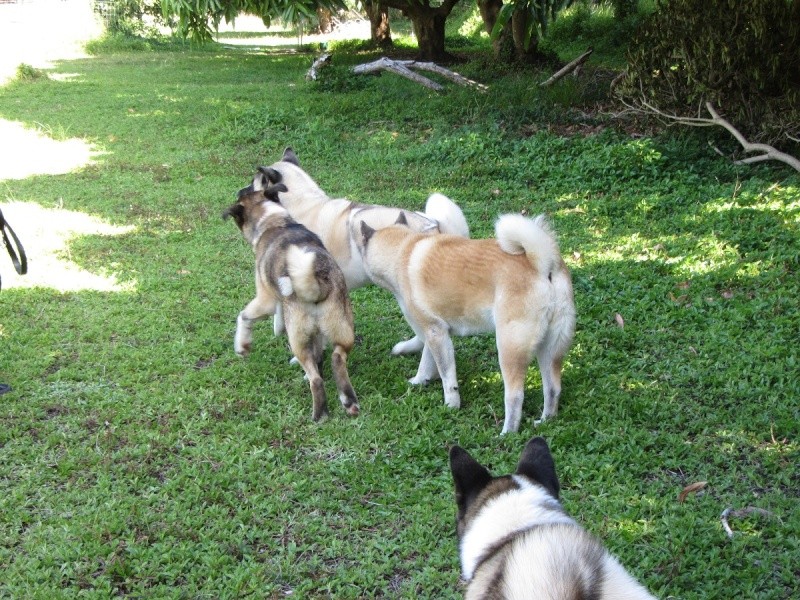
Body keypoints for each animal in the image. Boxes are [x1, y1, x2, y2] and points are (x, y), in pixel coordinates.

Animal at [225, 176, 362, 422]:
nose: (239, 189)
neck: (275, 222)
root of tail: (317, 286)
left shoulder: (265, 299)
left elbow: (245, 316)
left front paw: (242, 345)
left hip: (298, 338)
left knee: (316, 379)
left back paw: (320, 415)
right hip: (342, 329)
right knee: (336, 359)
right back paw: (348, 401)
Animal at [354, 211, 572, 432]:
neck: (402, 251)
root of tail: (543, 264)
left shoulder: (436, 335)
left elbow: (447, 377)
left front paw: (451, 405)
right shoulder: (435, 333)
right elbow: (426, 362)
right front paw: (418, 381)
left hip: (510, 350)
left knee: (515, 396)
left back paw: (507, 433)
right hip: (549, 350)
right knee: (553, 388)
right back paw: (545, 420)